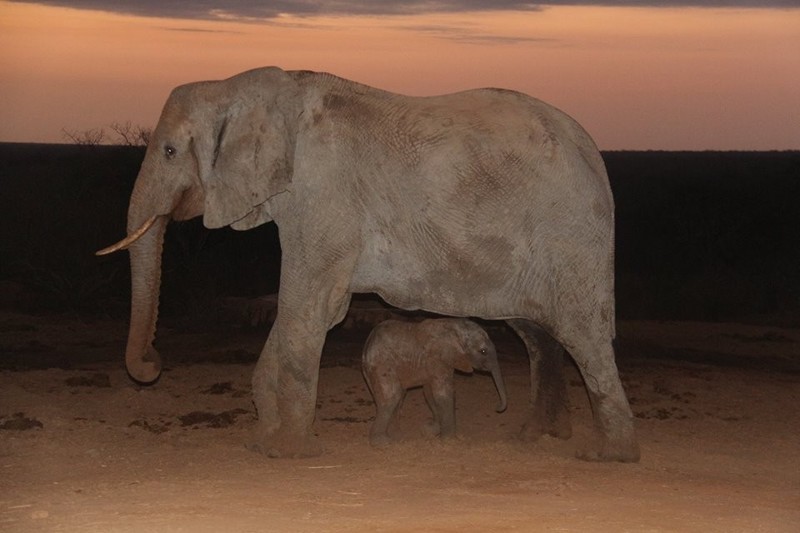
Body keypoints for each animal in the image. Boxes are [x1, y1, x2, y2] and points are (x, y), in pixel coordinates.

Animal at [362, 316, 506, 444]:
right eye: (483, 351)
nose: (497, 408)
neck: (456, 328)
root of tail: (367, 346)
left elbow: (430, 393)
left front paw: (430, 430)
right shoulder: (439, 359)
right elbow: (443, 393)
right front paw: (450, 440)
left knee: (397, 396)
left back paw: (397, 435)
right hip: (382, 364)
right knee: (392, 396)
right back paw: (383, 442)